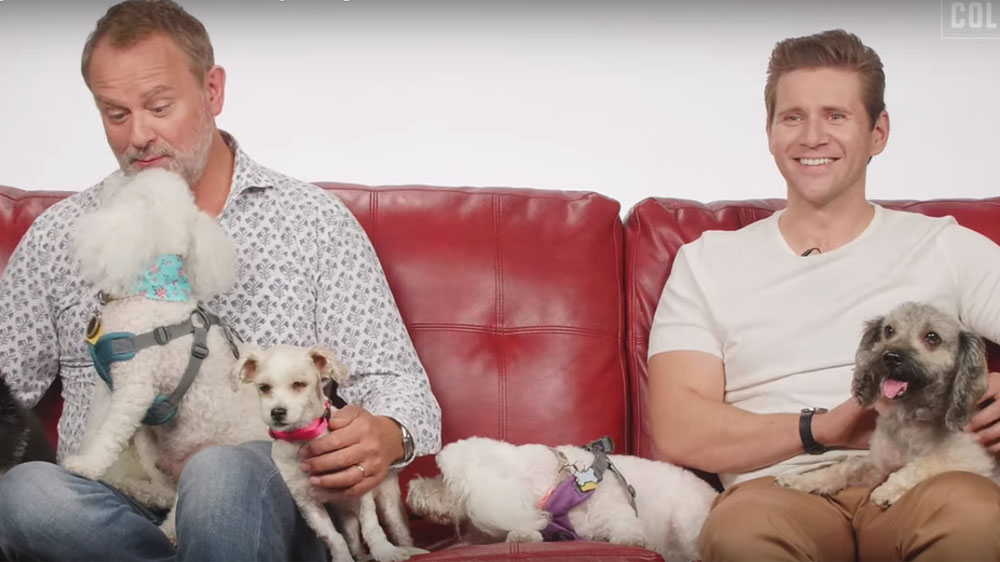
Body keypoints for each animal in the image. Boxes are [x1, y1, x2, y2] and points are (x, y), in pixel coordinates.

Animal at [61, 168, 267, 538]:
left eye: (128, 185)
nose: (109, 180)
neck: (154, 290)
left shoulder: (134, 388)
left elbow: (108, 434)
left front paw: (86, 466)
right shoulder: (113, 390)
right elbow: (102, 429)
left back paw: (167, 532)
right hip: (156, 450)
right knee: (164, 488)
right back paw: (146, 492)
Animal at [233, 343, 423, 562]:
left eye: (299, 384)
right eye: (264, 387)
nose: (277, 412)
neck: (304, 437)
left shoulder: (361, 489)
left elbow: (371, 527)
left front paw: (385, 551)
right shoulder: (308, 505)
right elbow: (333, 538)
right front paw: (343, 558)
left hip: (388, 501)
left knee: (399, 531)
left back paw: (410, 550)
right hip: (346, 517)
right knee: (352, 538)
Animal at [777, 301, 996, 507]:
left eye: (932, 337)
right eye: (889, 330)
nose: (890, 357)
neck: (910, 419)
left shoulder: (972, 459)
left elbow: (922, 464)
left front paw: (887, 490)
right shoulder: (878, 464)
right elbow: (845, 467)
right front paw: (803, 480)